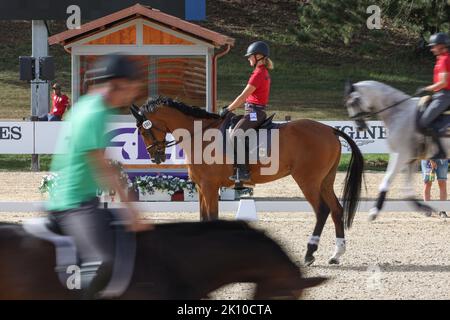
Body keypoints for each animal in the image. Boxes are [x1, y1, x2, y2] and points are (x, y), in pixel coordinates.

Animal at [128, 97, 364, 264]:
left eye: (143, 131)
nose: (155, 157)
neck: (200, 135)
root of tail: (330, 129)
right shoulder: (202, 188)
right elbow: (203, 218)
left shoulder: (209, 187)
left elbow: (211, 217)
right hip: (325, 181)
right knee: (336, 210)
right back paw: (336, 254)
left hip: (308, 181)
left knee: (322, 210)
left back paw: (309, 253)